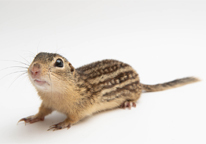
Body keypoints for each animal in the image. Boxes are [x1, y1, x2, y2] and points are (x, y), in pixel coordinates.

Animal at [18, 52, 200, 131]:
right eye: (36, 57)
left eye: (58, 63)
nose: (34, 69)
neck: (55, 95)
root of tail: (140, 82)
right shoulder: (47, 102)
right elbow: (43, 111)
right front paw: (32, 117)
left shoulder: (83, 105)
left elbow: (75, 117)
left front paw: (62, 123)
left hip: (134, 93)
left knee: (137, 97)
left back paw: (128, 102)